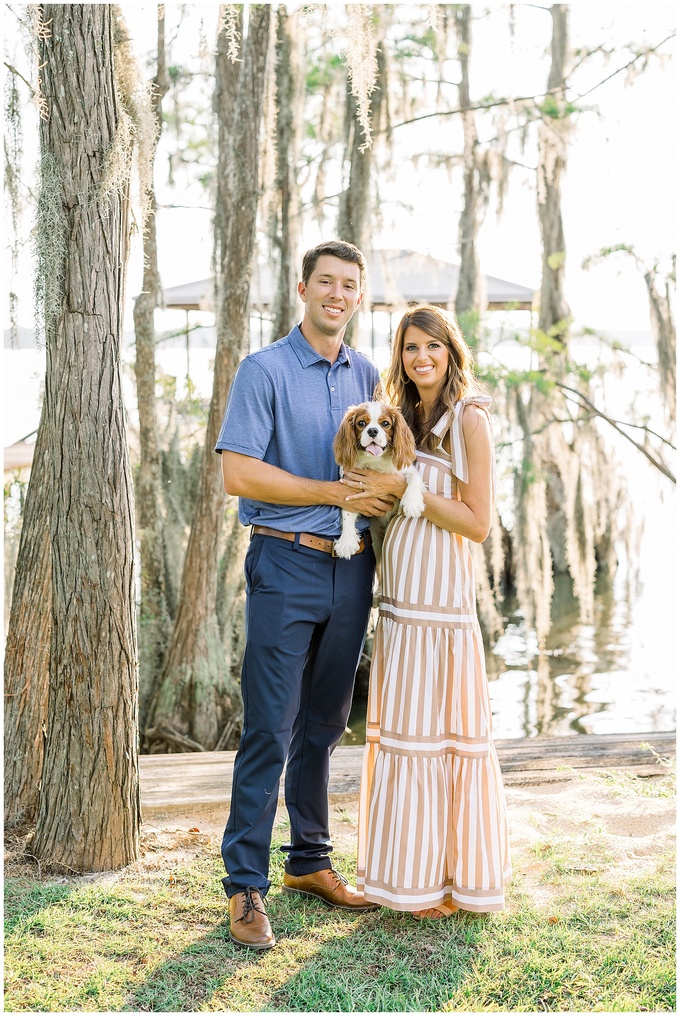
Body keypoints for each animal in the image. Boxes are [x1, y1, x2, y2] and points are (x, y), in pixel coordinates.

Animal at [329, 402, 420, 564]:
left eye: (385, 424)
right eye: (361, 423)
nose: (372, 431)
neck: (375, 462)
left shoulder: (408, 470)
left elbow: (414, 479)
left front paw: (412, 504)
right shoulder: (351, 486)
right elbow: (347, 511)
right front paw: (346, 542)